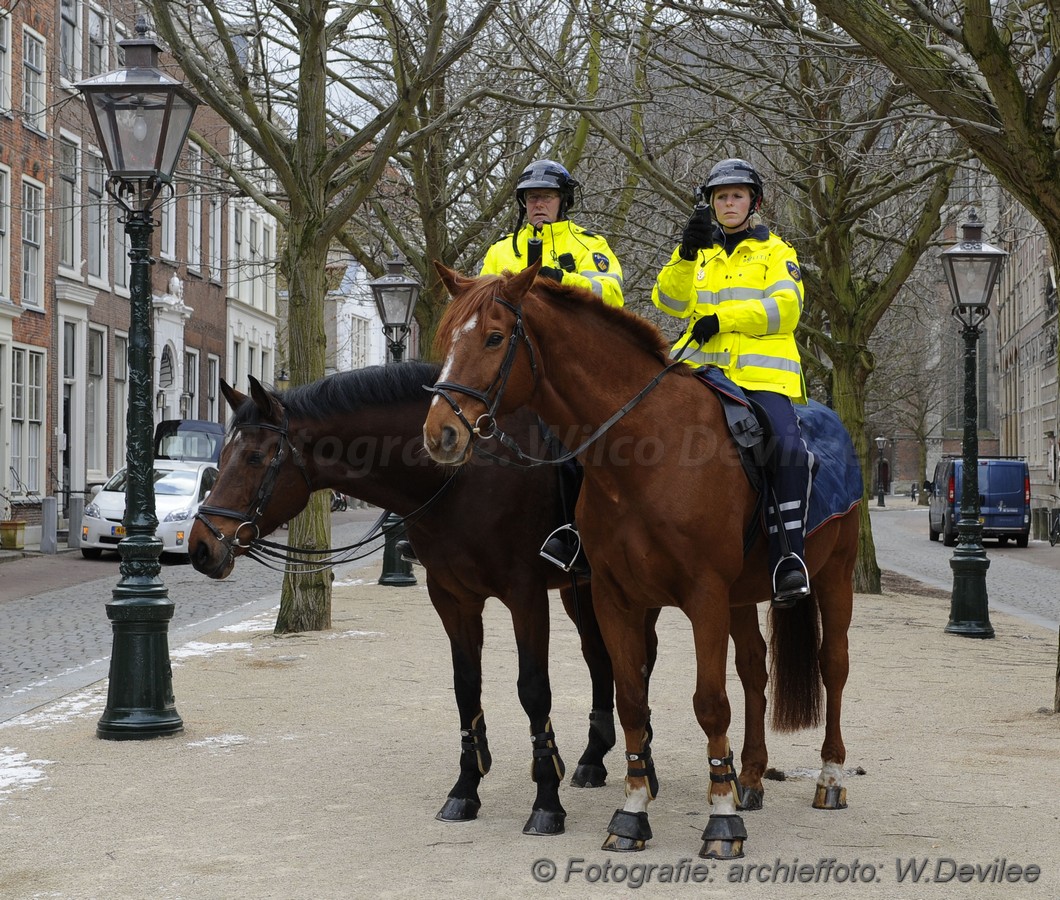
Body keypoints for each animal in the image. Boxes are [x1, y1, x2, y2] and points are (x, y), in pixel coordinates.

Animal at [187, 364, 631, 835]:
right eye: (221, 458)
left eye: (254, 457)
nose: (201, 546)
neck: (465, 476)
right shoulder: (453, 598)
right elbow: (466, 688)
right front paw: (465, 790)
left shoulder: (525, 596)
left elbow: (533, 690)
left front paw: (546, 800)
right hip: (579, 590)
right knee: (599, 657)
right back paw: (593, 759)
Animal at [421, 262, 860, 860]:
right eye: (446, 339)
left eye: (492, 337)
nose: (438, 433)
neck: (646, 447)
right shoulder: (615, 597)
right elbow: (630, 698)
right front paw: (632, 813)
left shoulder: (703, 596)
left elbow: (709, 702)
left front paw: (721, 820)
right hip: (743, 595)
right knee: (754, 669)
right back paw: (749, 777)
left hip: (835, 574)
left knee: (832, 665)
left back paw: (829, 778)